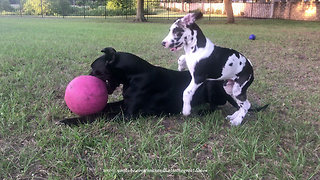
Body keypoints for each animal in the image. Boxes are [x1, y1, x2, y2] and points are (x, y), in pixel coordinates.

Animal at [59, 47, 255, 125]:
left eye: (94, 70)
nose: (85, 78)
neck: (133, 76)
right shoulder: (125, 104)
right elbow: (106, 107)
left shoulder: (128, 114)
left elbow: (98, 115)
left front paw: (70, 121)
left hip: (211, 86)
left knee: (215, 106)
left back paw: (201, 111)